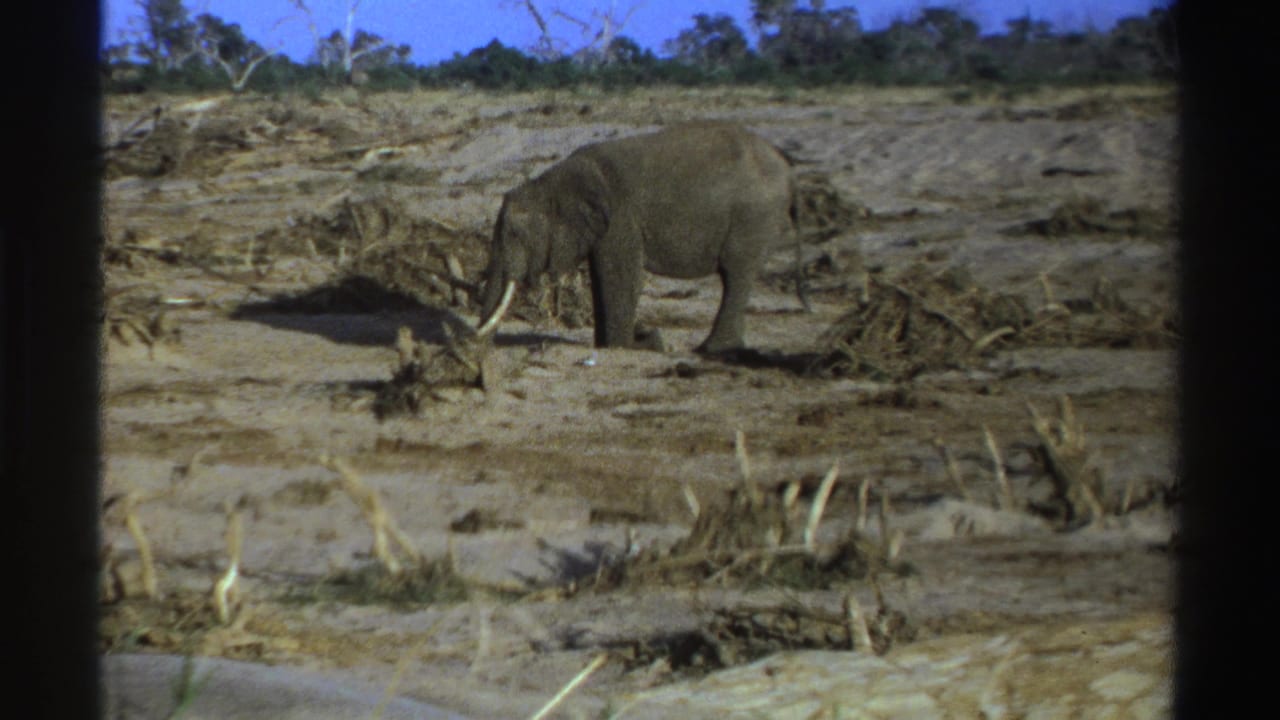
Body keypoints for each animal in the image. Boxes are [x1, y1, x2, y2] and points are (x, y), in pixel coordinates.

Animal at [477, 121, 797, 354]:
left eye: (515, 234)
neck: (552, 180)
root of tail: (784, 163)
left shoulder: (620, 216)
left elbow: (621, 275)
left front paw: (635, 345)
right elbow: (602, 277)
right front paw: (615, 344)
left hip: (754, 216)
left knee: (736, 273)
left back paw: (712, 350)